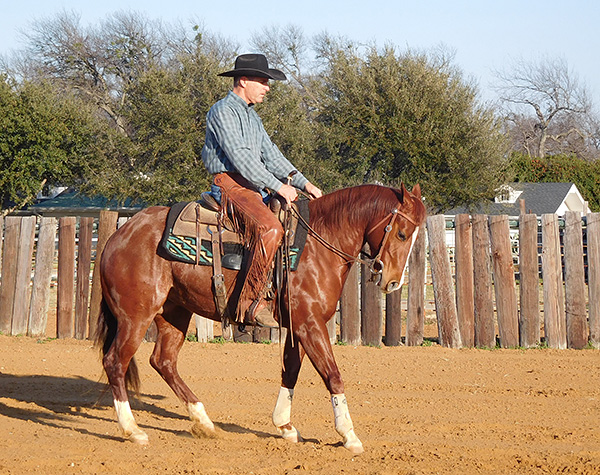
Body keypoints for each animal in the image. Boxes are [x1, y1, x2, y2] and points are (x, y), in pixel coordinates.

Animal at [97, 182, 426, 454]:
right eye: (401, 233)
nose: (393, 282)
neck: (317, 246)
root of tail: (119, 235)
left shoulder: (298, 326)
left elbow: (290, 372)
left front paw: (285, 426)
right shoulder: (310, 325)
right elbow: (332, 375)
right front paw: (349, 435)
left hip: (174, 313)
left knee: (163, 361)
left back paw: (204, 422)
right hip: (136, 316)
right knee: (115, 362)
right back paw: (133, 430)